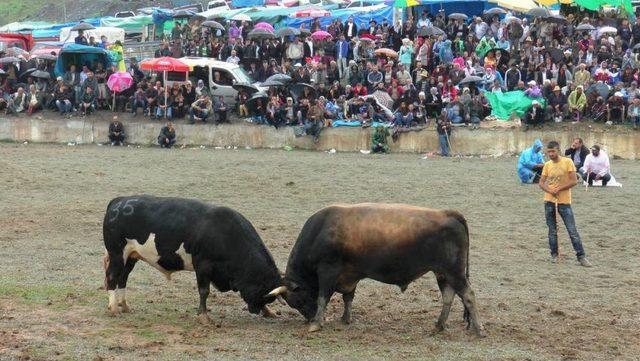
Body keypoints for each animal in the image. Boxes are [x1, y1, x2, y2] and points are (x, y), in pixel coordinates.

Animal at [103, 195, 282, 322]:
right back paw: (114, 308)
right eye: (262, 291)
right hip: (117, 254)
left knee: (123, 278)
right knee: (112, 277)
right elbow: (204, 291)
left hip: (131, 257)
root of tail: (119, 201)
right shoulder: (203, 266)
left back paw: (125, 306)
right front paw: (203, 316)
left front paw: (269, 312)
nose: (256, 309)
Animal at [268, 202, 482, 334]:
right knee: (448, 296)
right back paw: (439, 325)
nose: (309, 318)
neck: (320, 231)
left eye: (297, 300)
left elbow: (323, 297)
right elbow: (348, 298)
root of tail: (447, 212)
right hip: (442, 273)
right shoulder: (350, 274)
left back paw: (478, 329)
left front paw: (317, 324)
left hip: (454, 272)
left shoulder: (328, 270)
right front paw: (345, 318)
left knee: (468, 295)